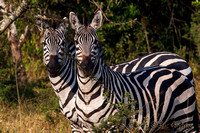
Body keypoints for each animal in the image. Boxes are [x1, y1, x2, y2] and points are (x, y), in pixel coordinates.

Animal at [69, 10, 198, 132]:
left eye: (95, 41)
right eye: (76, 42)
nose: (86, 66)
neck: (87, 93)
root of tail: (177, 71)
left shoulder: (111, 126)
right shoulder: (85, 127)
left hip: (184, 119)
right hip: (166, 125)